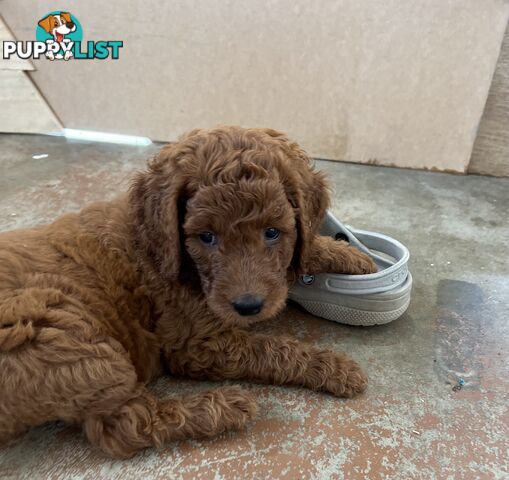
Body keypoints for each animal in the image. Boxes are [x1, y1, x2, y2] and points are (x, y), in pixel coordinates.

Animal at [0, 126, 374, 458]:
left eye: (272, 232)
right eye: (206, 237)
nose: (248, 306)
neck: (158, 246)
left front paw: (353, 257)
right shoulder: (194, 345)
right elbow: (272, 349)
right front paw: (335, 368)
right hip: (66, 334)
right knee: (125, 428)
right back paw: (225, 407)